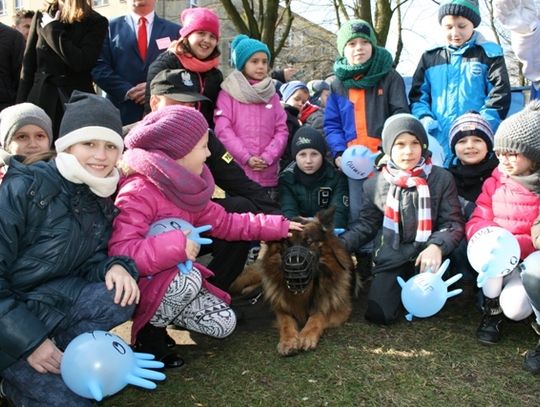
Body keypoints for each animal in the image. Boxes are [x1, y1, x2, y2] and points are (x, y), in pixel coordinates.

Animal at [262, 209, 354, 356]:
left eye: (308, 241)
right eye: (287, 243)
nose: (295, 267)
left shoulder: (341, 311)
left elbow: (318, 316)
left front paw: (306, 335)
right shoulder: (280, 309)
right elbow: (286, 322)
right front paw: (288, 341)